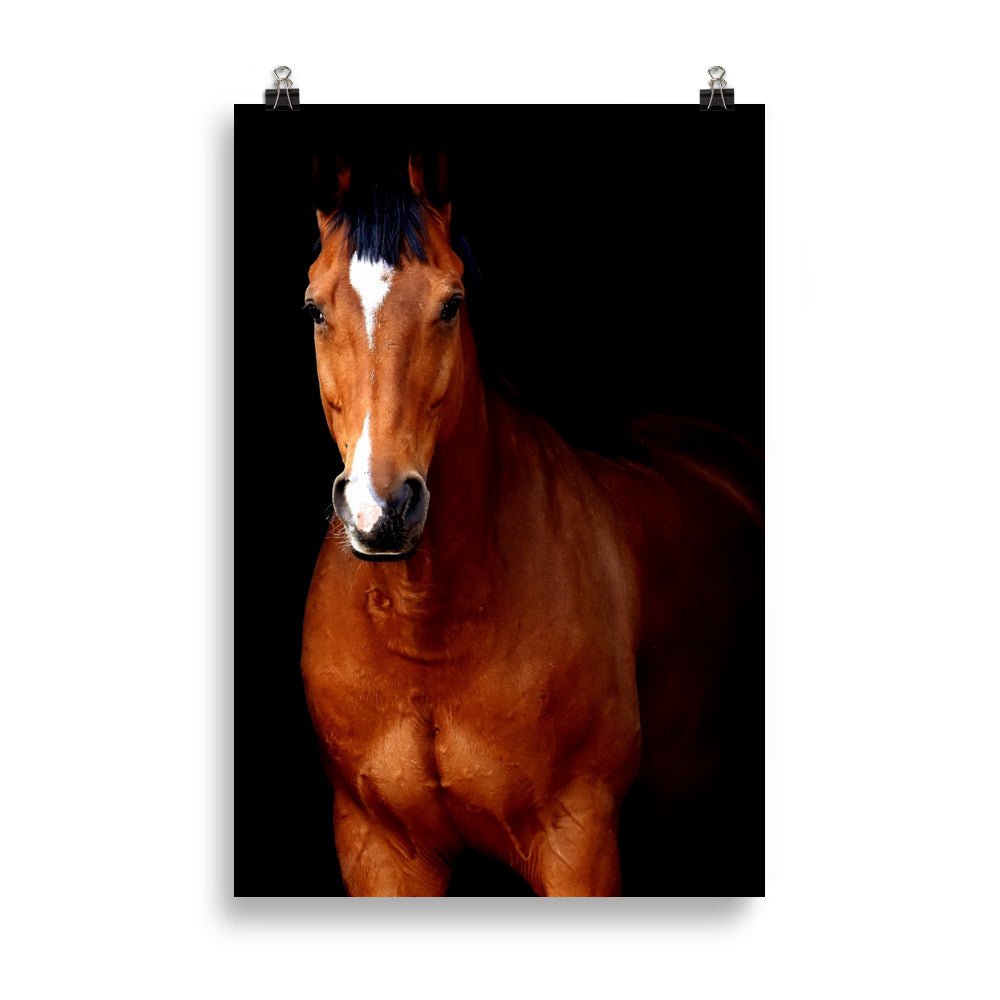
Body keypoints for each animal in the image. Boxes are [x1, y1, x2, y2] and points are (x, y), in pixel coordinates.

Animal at [299, 147, 762, 896]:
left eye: (451, 305)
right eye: (315, 309)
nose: (382, 510)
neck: (428, 627)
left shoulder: (578, 841)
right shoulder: (378, 848)